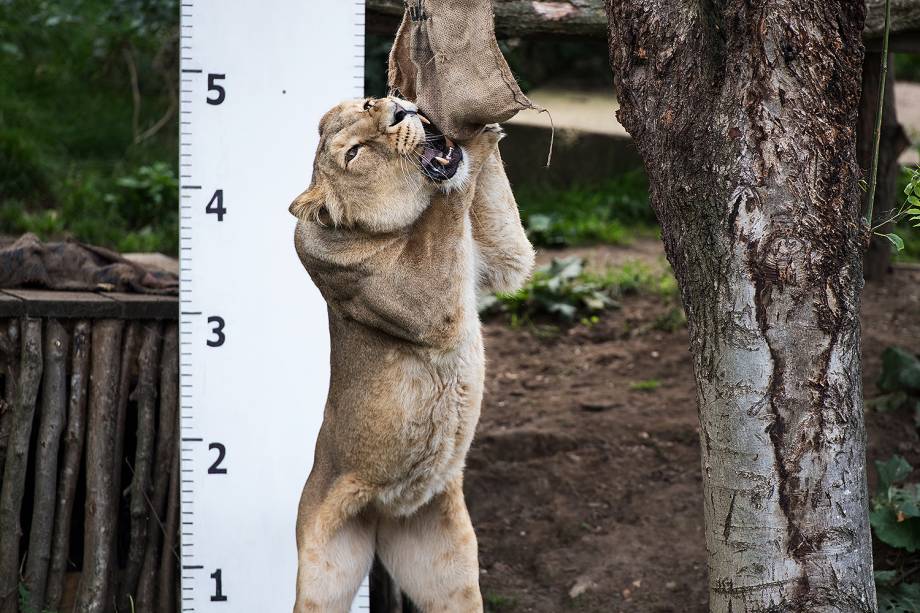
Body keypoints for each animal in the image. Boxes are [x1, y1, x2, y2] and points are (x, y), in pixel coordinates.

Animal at [288, 98, 532, 608]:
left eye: (367, 104)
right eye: (354, 153)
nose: (398, 110)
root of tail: (386, 511)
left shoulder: (496, 260)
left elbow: (508, 250)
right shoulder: (426, 302)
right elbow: (446, 209)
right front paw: (469, 144)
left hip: (449, 569)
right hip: (321, 577)